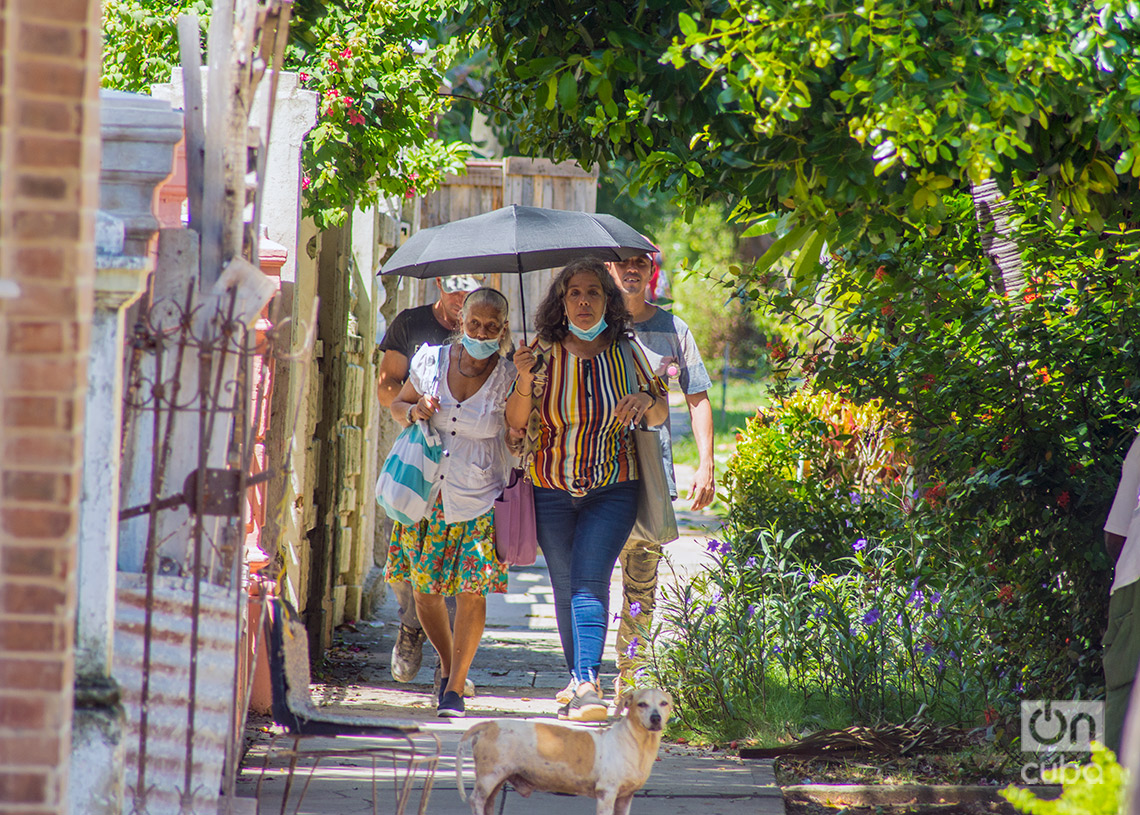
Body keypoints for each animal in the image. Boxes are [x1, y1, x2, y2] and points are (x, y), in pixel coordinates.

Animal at [453, 688, 670, 815]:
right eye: (641, 704)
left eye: (664, 703)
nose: (656, 717)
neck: (638, 744)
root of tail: (488, 725)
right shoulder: (606, 793)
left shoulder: (625, 798)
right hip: (490, 775)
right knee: (477, 800)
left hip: (498, 777)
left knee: (488, 803)